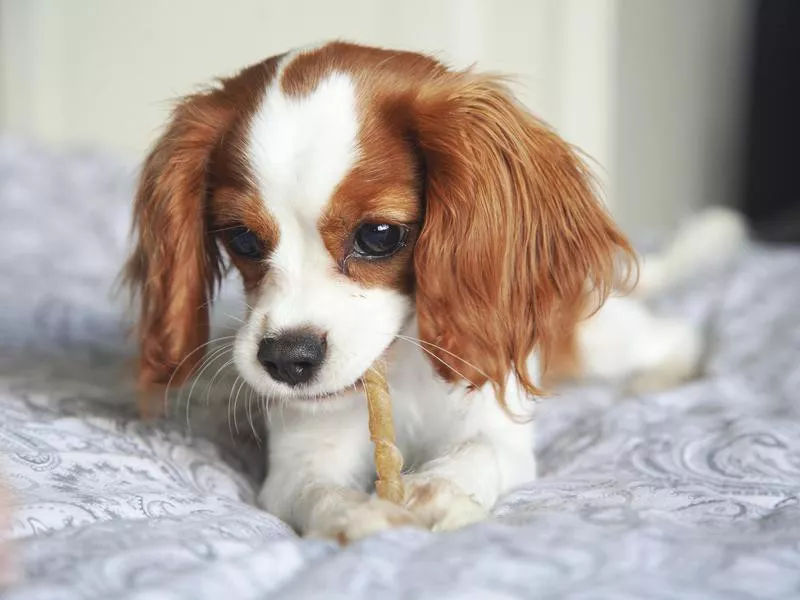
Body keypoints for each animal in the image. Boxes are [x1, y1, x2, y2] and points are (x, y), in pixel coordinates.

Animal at [122, 41, 708, 540]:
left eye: (379, 235)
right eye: (242, 238)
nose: (287, 359)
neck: (400, 363)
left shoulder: (497, 423)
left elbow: (478, 454)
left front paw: (436, 492)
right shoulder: (302, 455)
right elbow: (315, 489)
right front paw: (358, 515)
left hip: (598, 341)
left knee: (677, 335)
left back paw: (659, 380)